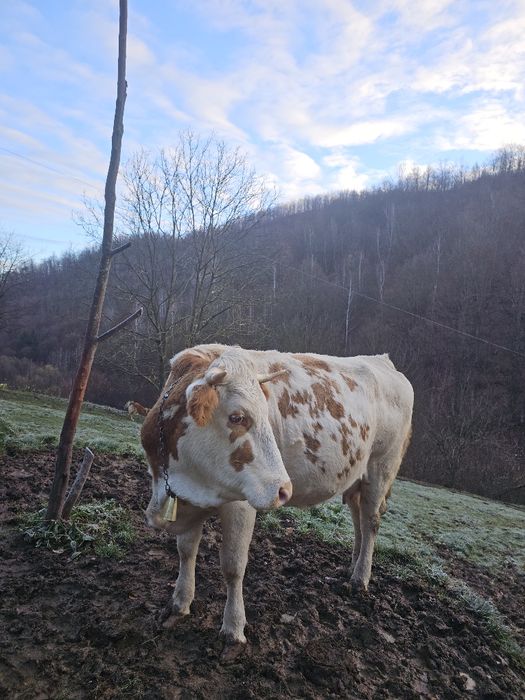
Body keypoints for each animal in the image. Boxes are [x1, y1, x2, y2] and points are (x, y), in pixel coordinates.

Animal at [141, 344, 413, 647]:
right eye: (237, 417)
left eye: (266, 416)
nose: (284, 489)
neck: (184, 477)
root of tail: (382, 361)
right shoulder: (186, 499)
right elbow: (186, 550)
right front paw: (179, 603)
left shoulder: (241, 501)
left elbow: (233, 565)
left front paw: (233, 628)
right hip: (358, 478)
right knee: (359, 521)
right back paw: (352, 568)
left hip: (381, 468)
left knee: (371, 521)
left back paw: (360, 578)